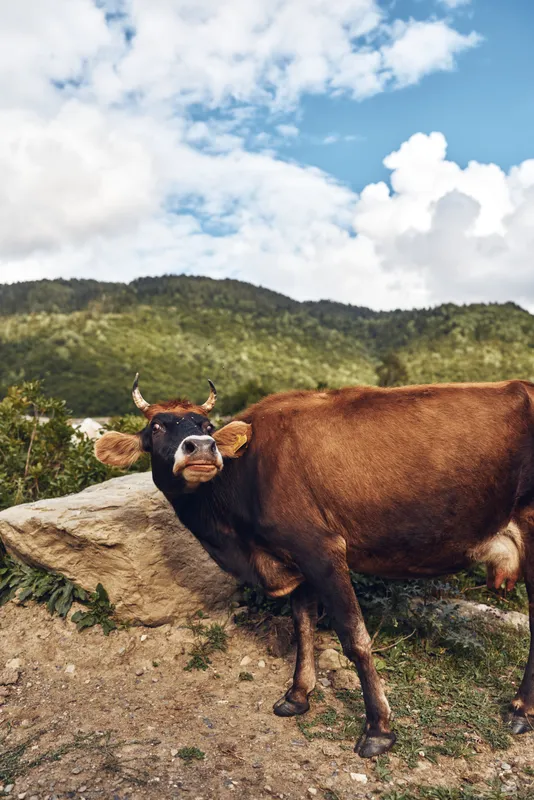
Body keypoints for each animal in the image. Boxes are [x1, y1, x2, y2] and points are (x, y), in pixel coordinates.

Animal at [94, 375, 534, 758]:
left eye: (207, 426)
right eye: (156, 426)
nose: (201, 447)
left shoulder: (322, 549)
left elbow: (354, 639)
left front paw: (378, 729)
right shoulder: (295, 557)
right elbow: (303, 626)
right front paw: (297, 695)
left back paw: (519, 710)